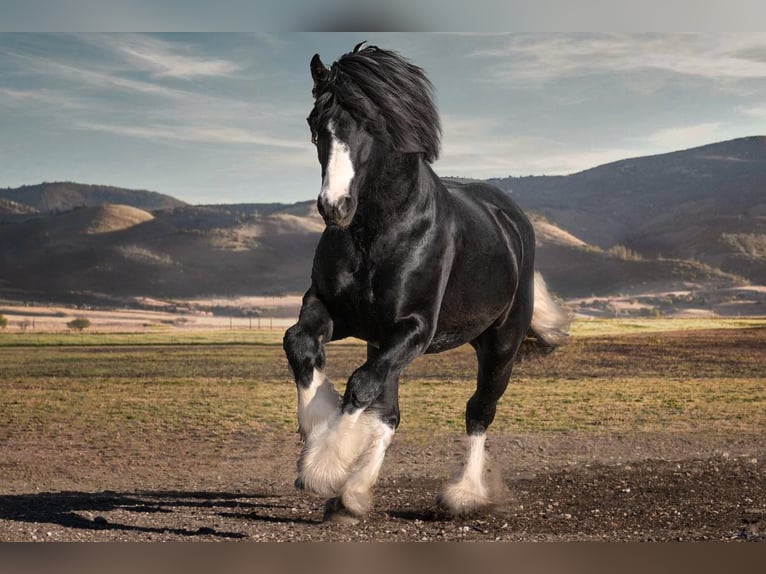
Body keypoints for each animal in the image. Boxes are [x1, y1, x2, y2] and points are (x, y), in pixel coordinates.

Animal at [284, 42, 568, 524]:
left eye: (370, 124)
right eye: (314, 124)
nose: (334, 206)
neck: (379, 232)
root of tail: (512, 220)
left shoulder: (415, 329)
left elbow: (360, 385)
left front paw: (323, 466)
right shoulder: (335, 312)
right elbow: (301, 344)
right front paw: (319, 432)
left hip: (500, 346)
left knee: (478, 411)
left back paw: (464, 495)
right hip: (382, 341)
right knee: (387, 413)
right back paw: (351, 496)